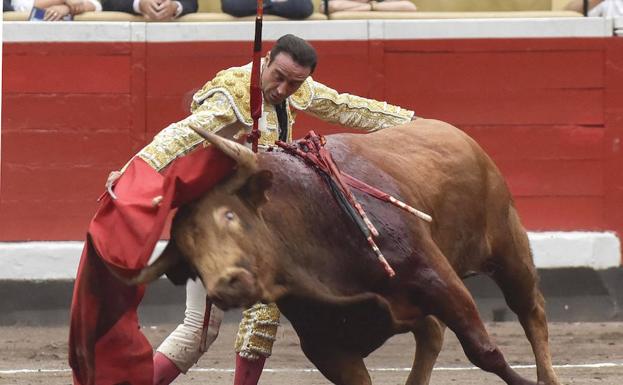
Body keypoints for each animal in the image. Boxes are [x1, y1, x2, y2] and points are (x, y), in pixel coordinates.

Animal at [134, 118, 564, 382]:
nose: (227, 282)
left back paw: (548, 377)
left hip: (508, 247)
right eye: (188, 251)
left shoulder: (439, 281)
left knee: (532, 310)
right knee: (432, 333)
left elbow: (484, 351)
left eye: (230, 215)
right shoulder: (327, 346)